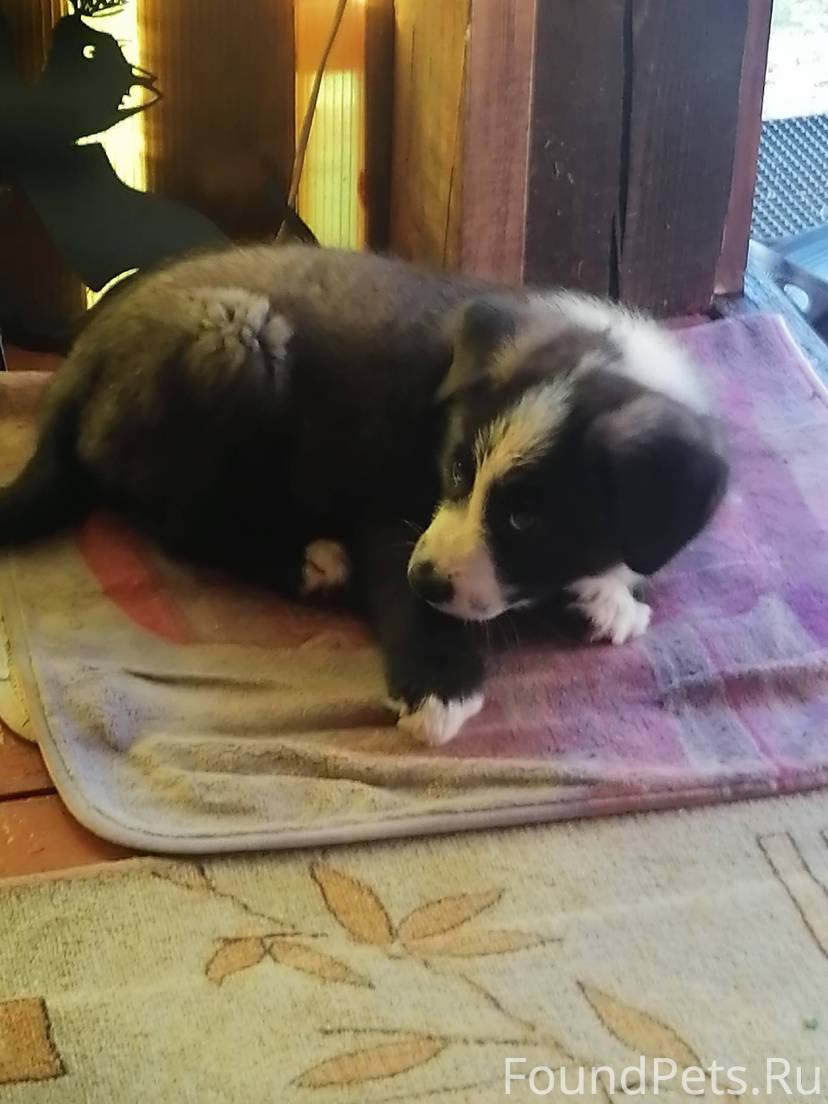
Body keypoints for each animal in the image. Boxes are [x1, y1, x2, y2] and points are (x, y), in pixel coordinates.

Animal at [0, 244, 728, 745]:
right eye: (456, 471)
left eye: (526, 518)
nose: (427, 578)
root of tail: (83, 355)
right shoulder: (388, 507)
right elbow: (393, 574)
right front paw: (437, 683)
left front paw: (608, 594)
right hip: (239, 341)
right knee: (175, 519)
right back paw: (309, 562)